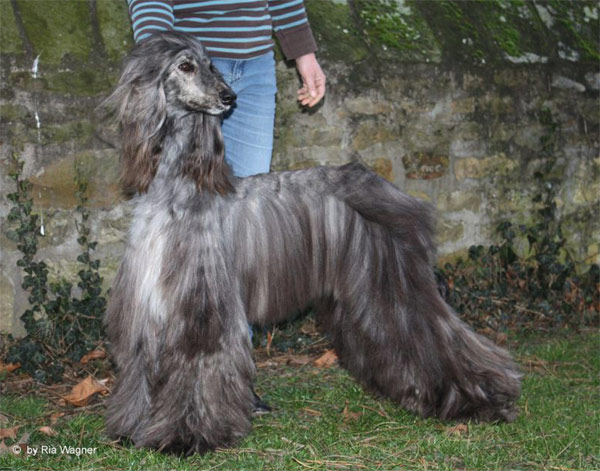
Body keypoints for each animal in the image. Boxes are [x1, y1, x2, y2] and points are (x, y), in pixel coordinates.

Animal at [104, 31, 521, 455]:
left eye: (211, 64)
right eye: (186, 66)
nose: (229, 97)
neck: (177, 191)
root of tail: (391, 191)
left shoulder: (201, 314)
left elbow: (197, 368)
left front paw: (187, 435)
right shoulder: (145, 312)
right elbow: (140, 369)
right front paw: (132, 427)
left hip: (395, 286)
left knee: (437, 335)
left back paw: (486, 396)